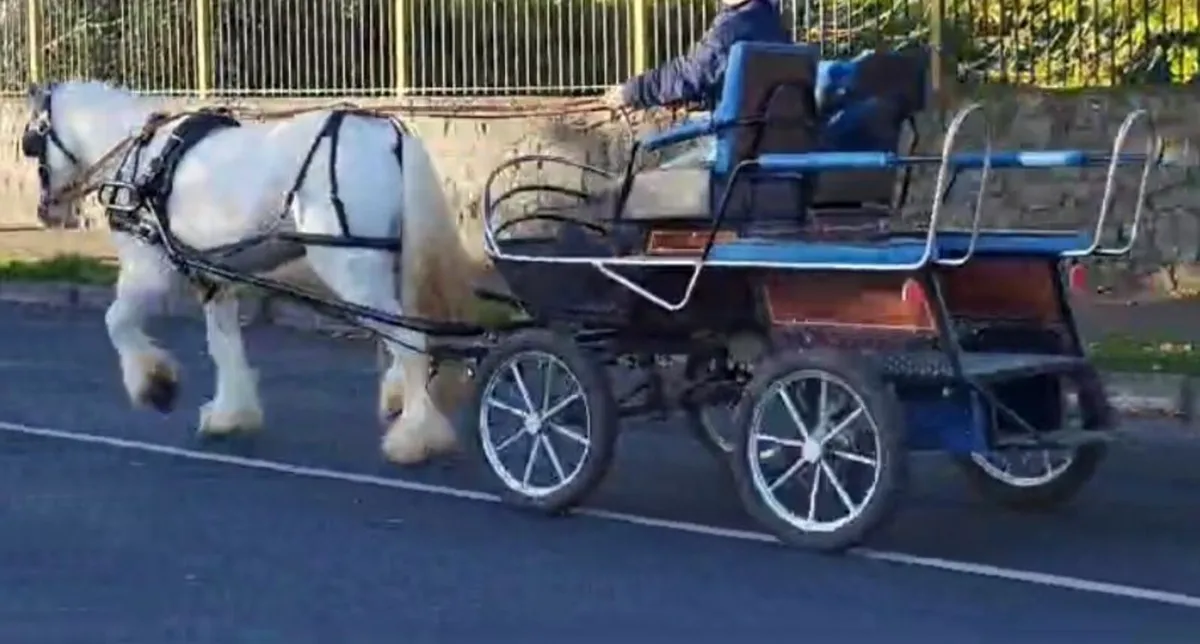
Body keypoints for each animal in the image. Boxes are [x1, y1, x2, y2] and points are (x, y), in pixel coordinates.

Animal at [19, 80, 483, 466]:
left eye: (32, 143)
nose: (47, 210)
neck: (145, 160)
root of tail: (389, 136)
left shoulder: (149, 269)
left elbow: (116, 321)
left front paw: (155, 385)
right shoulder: (213, 278)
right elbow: (223, 344)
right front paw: (231, 415)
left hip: (352, 269)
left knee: (411, 339)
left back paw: (415, 437)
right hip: (389, 265)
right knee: (410, 333)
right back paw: (401, 399)